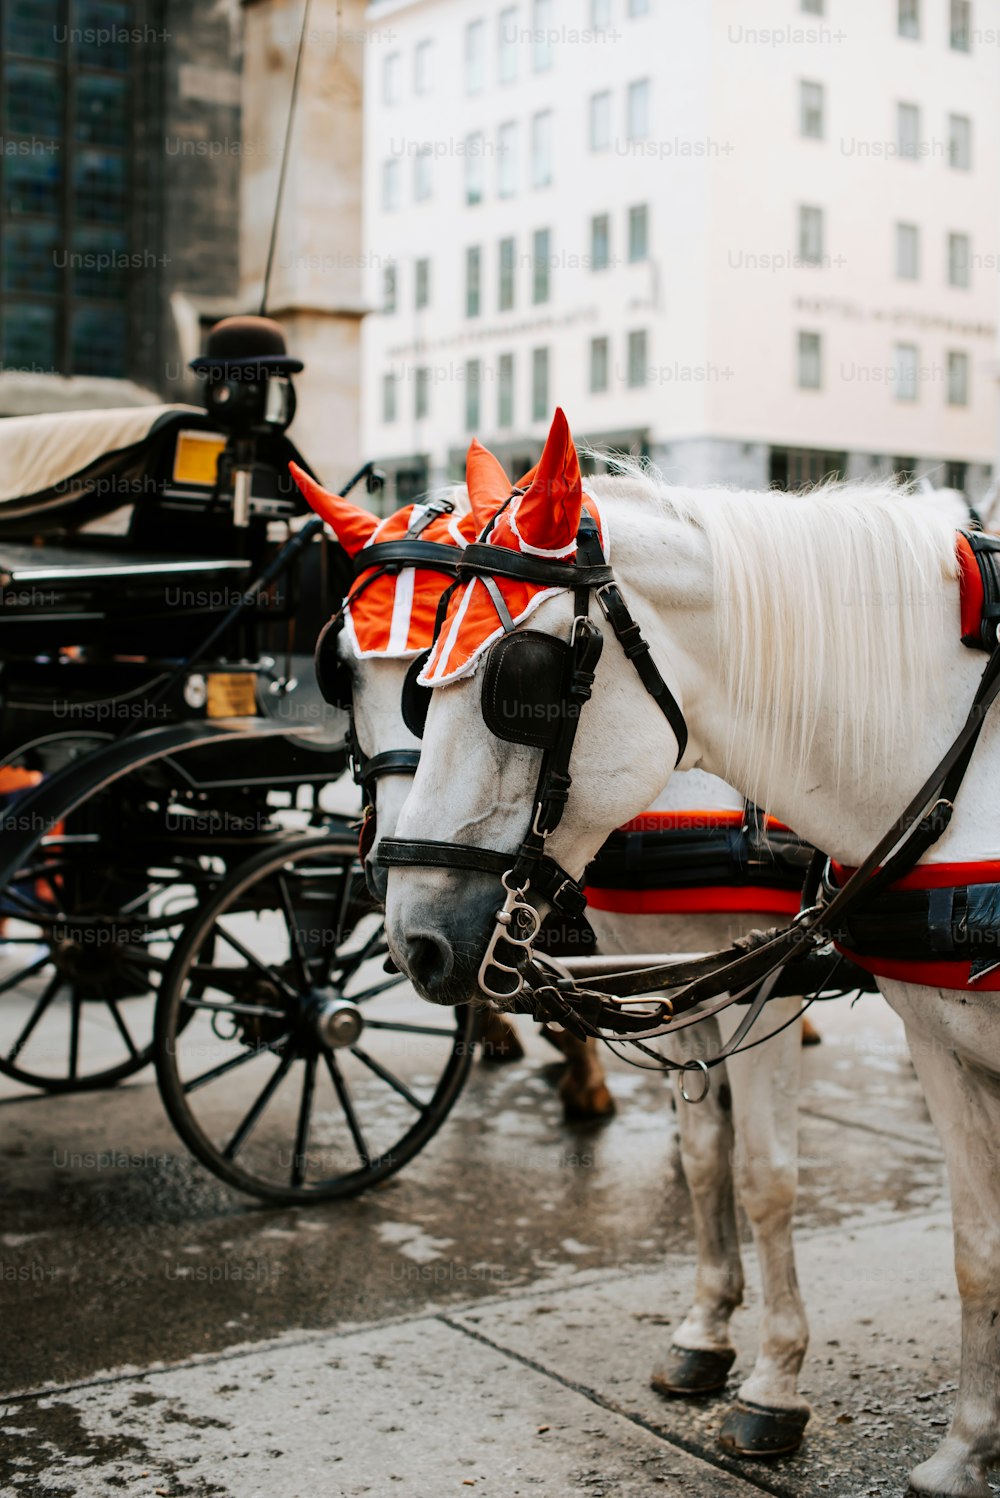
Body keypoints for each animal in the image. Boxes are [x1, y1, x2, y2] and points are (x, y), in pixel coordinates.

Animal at [386, 410, 999, 1498]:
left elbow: (765, 1174)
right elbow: (717, 1162)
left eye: (519, 686)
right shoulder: (751, 1006)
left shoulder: (769, 988)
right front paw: (710, 1336)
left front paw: (774, 1384)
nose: (412, 938)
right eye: (418, 692)